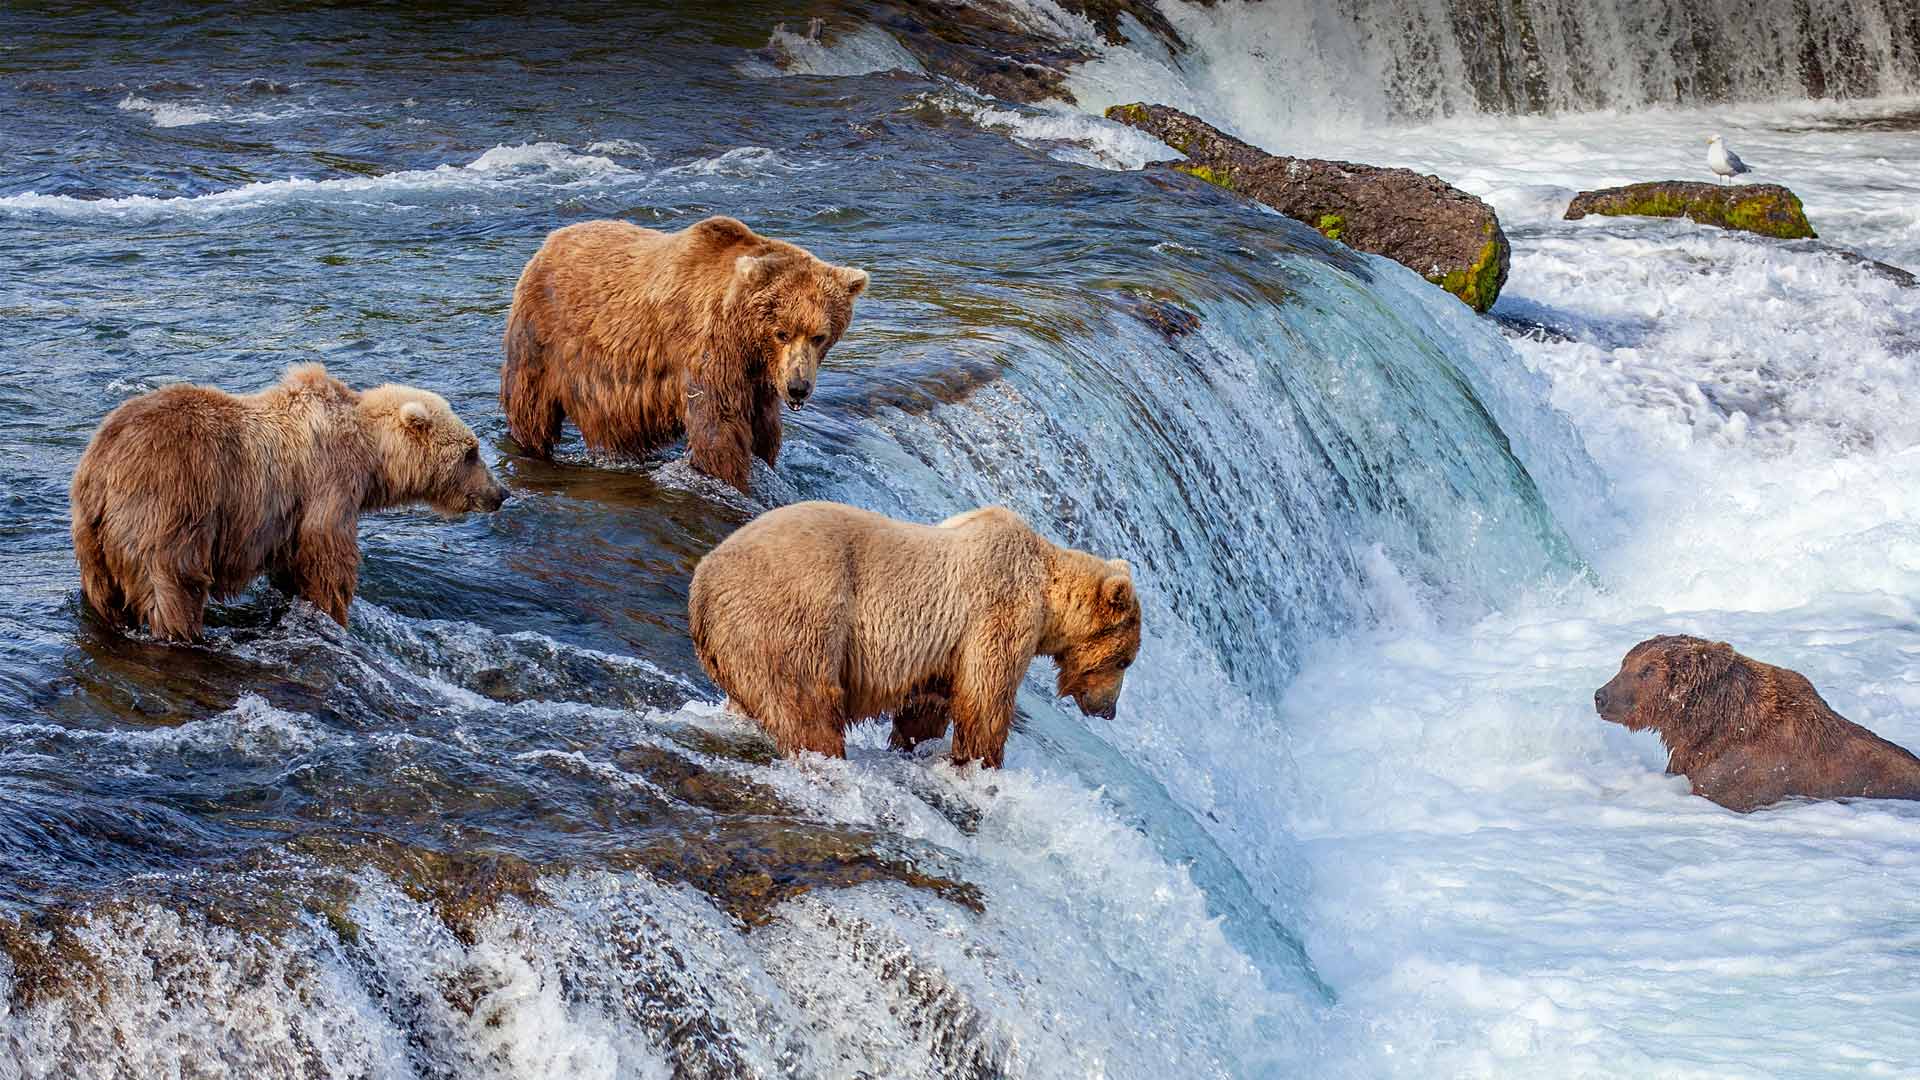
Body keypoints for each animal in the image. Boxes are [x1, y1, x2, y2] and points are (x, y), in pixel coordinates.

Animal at [69, 365, 503, 641]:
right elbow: (327, 556)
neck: (371, 456)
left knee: (102, 593)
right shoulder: (327, 485)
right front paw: (334, 612)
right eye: (472, 451)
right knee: (175, 586)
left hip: (91, 534)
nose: (500, 493)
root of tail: (101, 465)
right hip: (170, 507)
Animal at [506, 216, 875, 495]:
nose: (798, 388)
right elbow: (718, 428)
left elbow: (765, 429)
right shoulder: (709, 350)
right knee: (530, 408)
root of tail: (551, 239)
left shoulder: (758, 379)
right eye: (782, 332)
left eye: (819, 336)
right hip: (543, 338)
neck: (747, 340)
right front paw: (731, 479)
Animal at [691, 499, 1136, 764]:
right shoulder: (997, 611)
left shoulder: (943, 651)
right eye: (1124, 661)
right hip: (794, 617)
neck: (1047, 590)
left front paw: (915, 743)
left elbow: (928, 705)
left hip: (739, 645)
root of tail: (702, 584)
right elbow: (986, 699)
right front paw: (981, 763)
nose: (1109, 710)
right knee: (807, 705)